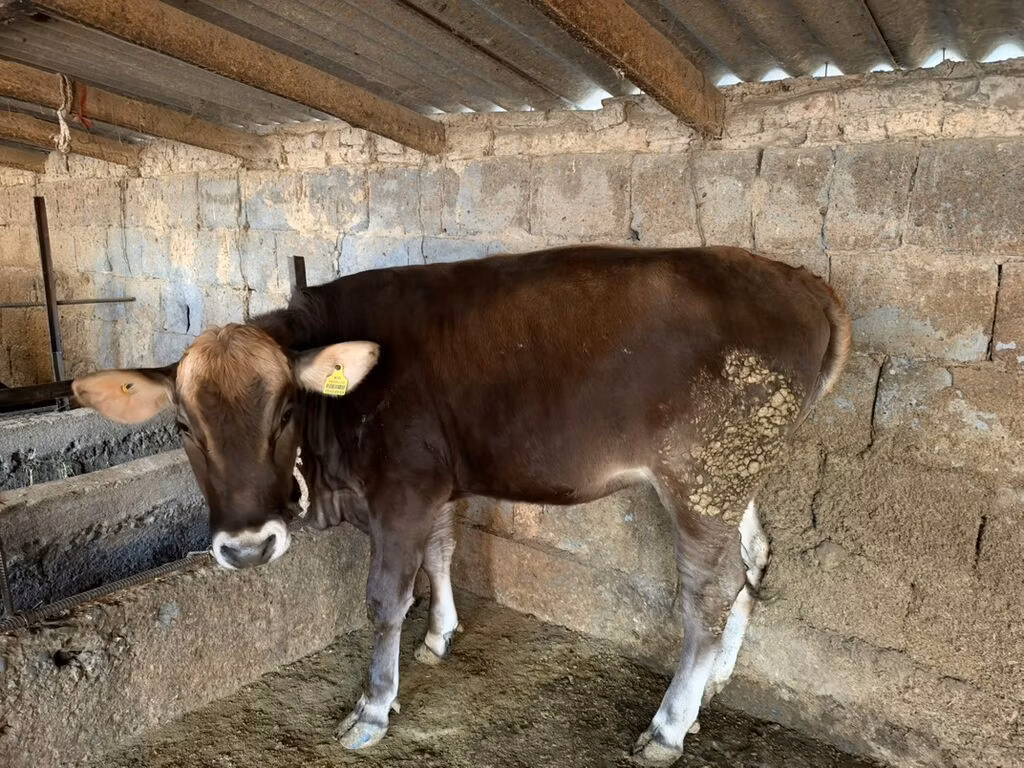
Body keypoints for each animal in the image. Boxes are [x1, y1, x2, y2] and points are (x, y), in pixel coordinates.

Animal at [72, 245, 850, 763]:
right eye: (181, 424)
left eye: (286, 409)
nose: (246, 547)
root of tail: (798, 277)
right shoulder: (437, 484)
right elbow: (443, 553)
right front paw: (440, 636)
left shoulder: (402, 492)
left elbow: (387, 595)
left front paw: (373, 706)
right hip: (737, 475)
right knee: (753, 563)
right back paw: (712, 686)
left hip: (705, 474)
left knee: (706, 595)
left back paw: (667, 726)